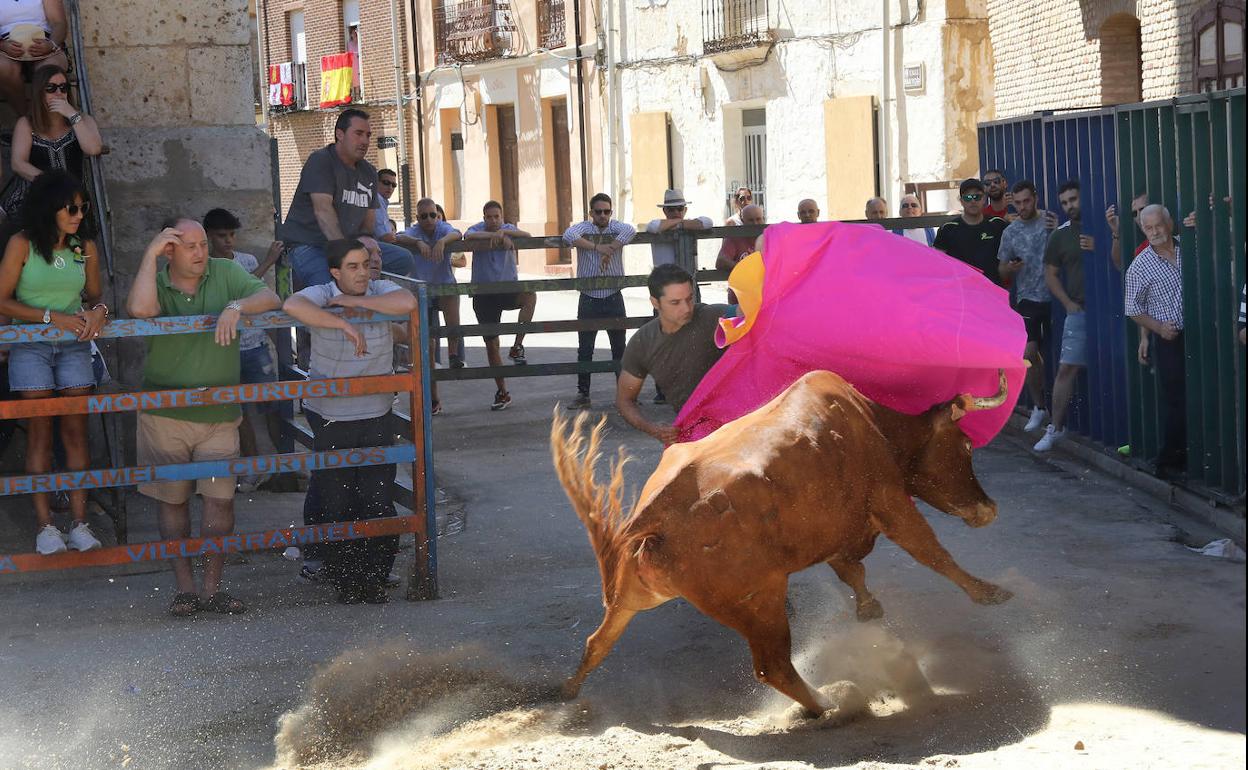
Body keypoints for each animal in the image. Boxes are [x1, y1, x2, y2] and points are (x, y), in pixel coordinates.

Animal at [554, 366, 1013, 713]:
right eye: (966, 445)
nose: (989, 509)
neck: (871, 422)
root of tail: (651, 514)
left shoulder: (839, 531)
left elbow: (852, 571)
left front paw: (869, 608)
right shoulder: (891, 502)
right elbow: (931, 552)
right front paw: (990, 593)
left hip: (634, 596)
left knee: (598, 642)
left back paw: (567, 691)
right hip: (762, 603)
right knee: (772, 667)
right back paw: (829, 704)